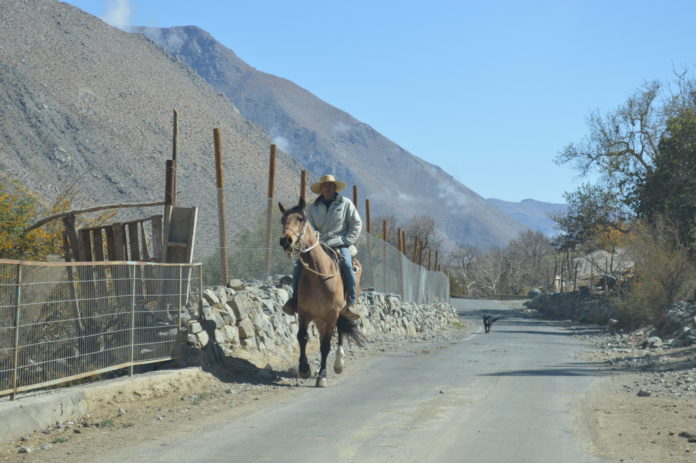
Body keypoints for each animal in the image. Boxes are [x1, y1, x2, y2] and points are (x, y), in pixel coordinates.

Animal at [278, 198, 368, 388]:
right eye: (282, 220)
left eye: (300, 219)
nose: (286, 240)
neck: (319, 274)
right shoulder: (304, 312)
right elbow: (302, 337)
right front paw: (304, 369)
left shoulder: (332, 314)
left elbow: (326, 344)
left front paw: (322, 376)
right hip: (319, 319)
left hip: (339, 313)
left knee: (339, 334)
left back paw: (338, 363)